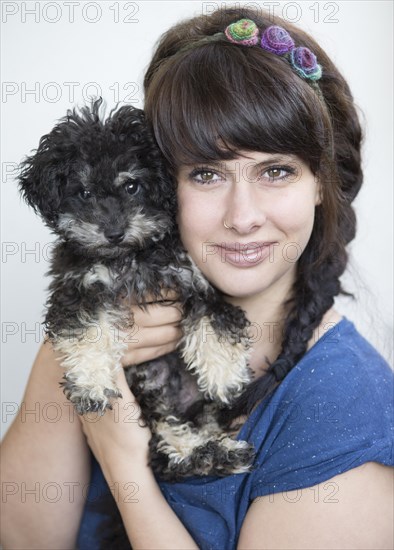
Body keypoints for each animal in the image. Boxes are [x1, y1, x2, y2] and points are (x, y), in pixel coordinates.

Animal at [19, 100, 255, 484]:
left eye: (132, 186)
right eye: (84, 192)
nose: (114, 232)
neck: (130, 257)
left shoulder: (197, 281)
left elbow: (215, 321)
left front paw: (224, 376)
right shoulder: (79, 287)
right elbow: (86, 329)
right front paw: (91, 383)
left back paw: (221, 452)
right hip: (151, 395)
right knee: (169, 441)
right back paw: (210, 455)